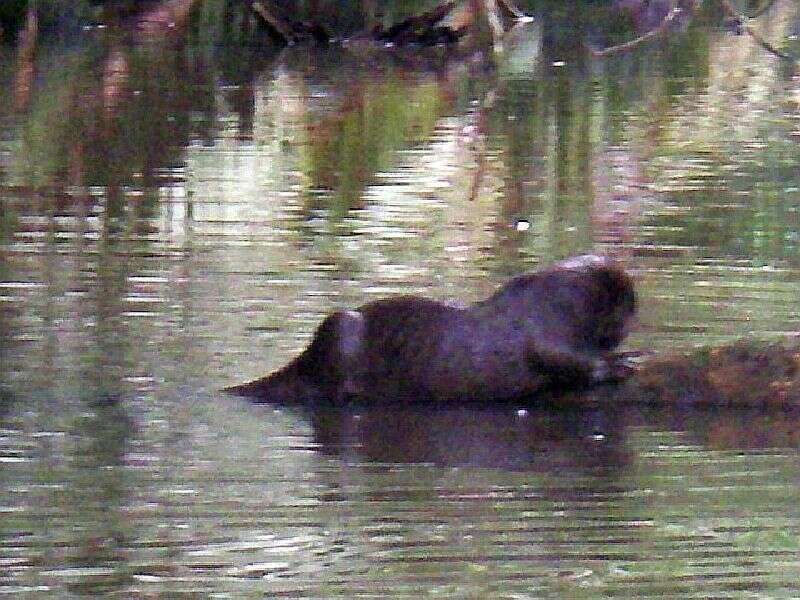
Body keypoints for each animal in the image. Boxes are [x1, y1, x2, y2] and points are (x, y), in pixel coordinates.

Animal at [227, 255, 636, 406]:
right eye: (629, 304)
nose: (633, 315)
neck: (546, 306)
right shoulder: (542, 335)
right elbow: (565, 360)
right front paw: (618, 363)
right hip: (341, 331)